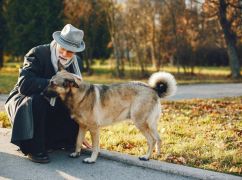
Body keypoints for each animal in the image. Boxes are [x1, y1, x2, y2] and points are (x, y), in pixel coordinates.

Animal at [46, 64, 177, 164]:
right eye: (50, 82)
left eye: (53, 84)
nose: (42, 93)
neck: (79, 95)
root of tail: (153, 89)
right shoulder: (82, 127)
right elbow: (78, 141)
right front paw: (76, 153)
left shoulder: (94, 129)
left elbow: (95, 147)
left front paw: (92, 159)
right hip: (151, 124)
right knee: (158, 139)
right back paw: (157, 155)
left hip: (140, 122)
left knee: (151, 140)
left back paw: (146, 157)